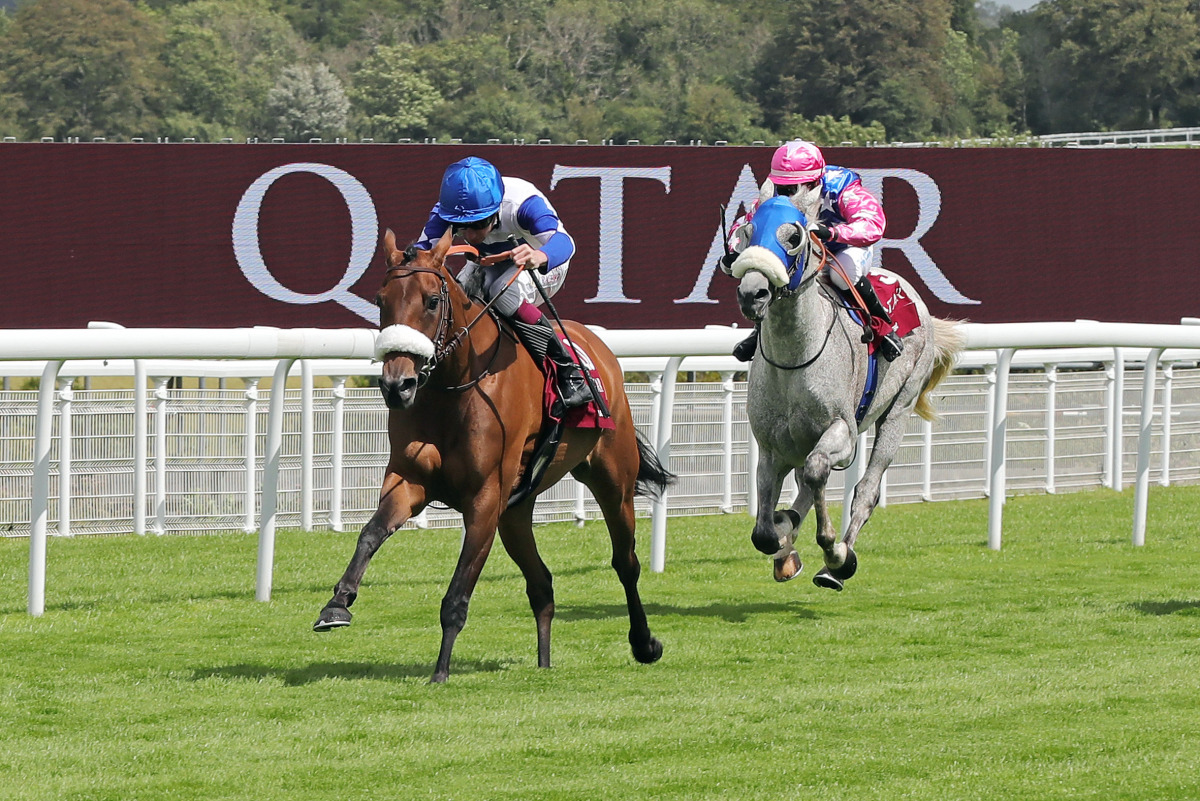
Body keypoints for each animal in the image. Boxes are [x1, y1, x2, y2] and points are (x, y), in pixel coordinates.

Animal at [314, 225, 672, 681]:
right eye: (381, 301)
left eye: (432, 301)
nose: (398, 386)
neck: (454, 387)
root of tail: (596, 345)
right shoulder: (410, 481)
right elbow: (370, 534)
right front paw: (336, 605)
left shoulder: (485, 498)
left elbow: (457, 594)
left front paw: (440, 672)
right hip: (516, 511)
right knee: (542, 584)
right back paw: (544, 664)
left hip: (612, 480)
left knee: (626, 563)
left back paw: (644, 643)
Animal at [724, 191, 960, 587]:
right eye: (746, 232)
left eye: (794, 236)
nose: (753, 293)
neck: (795, 359)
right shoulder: (772, 446)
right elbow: (765, 532)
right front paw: (784, 536)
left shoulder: (843, 432)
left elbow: (817, 472)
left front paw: (834, 552)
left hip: (899, 408)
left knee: (865, 489)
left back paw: (836, 564)